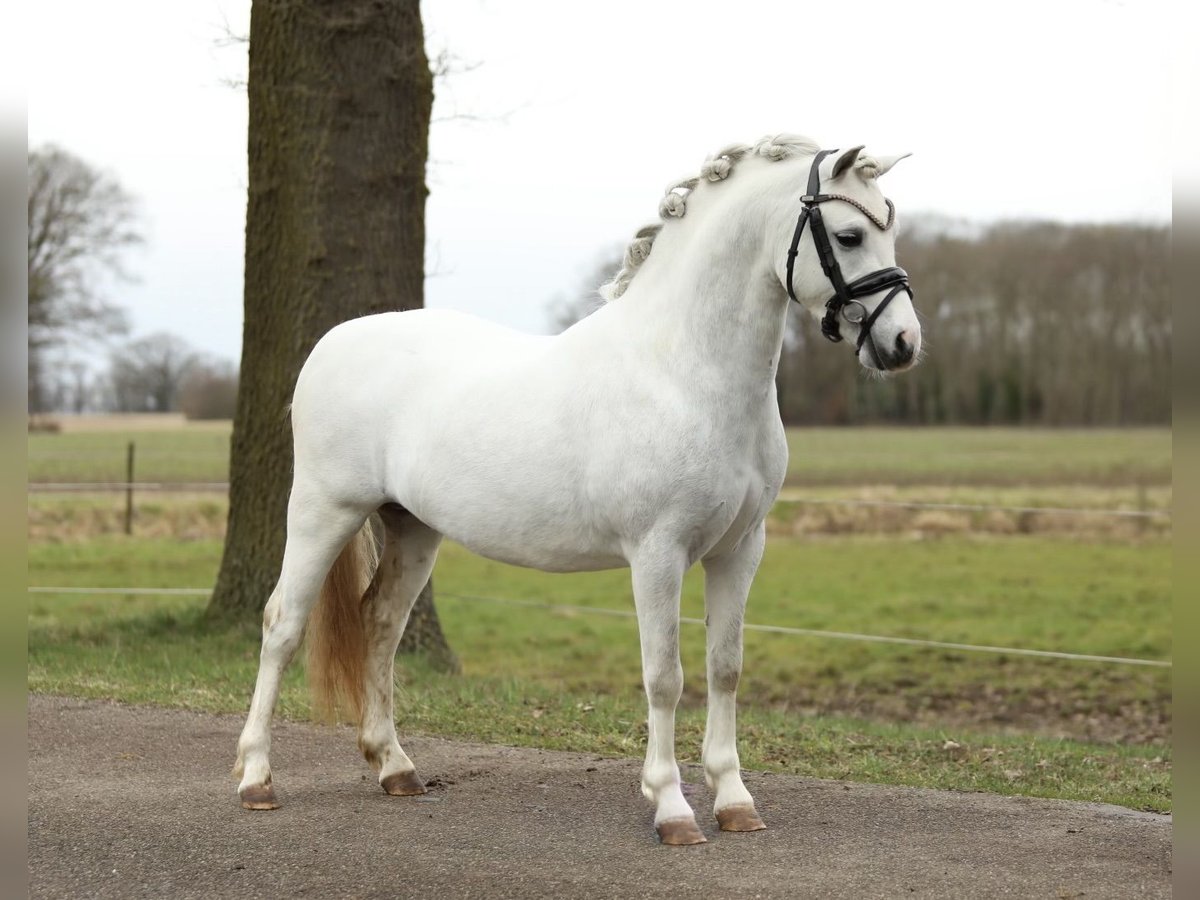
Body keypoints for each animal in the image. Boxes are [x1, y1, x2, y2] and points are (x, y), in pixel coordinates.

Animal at [238, 132, 921, 844]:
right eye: (847, 236)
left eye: (889, 230)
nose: (902, 343)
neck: (681, 372)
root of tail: (330, 345)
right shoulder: (658, 553)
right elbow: (664, 677)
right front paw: (671, 807)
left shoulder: (740, 549)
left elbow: (725, 668)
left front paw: (735, 800)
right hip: (323, 510)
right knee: (282, 624)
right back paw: (257, 779)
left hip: (412, 528)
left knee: (379, 624)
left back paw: (395, 767)